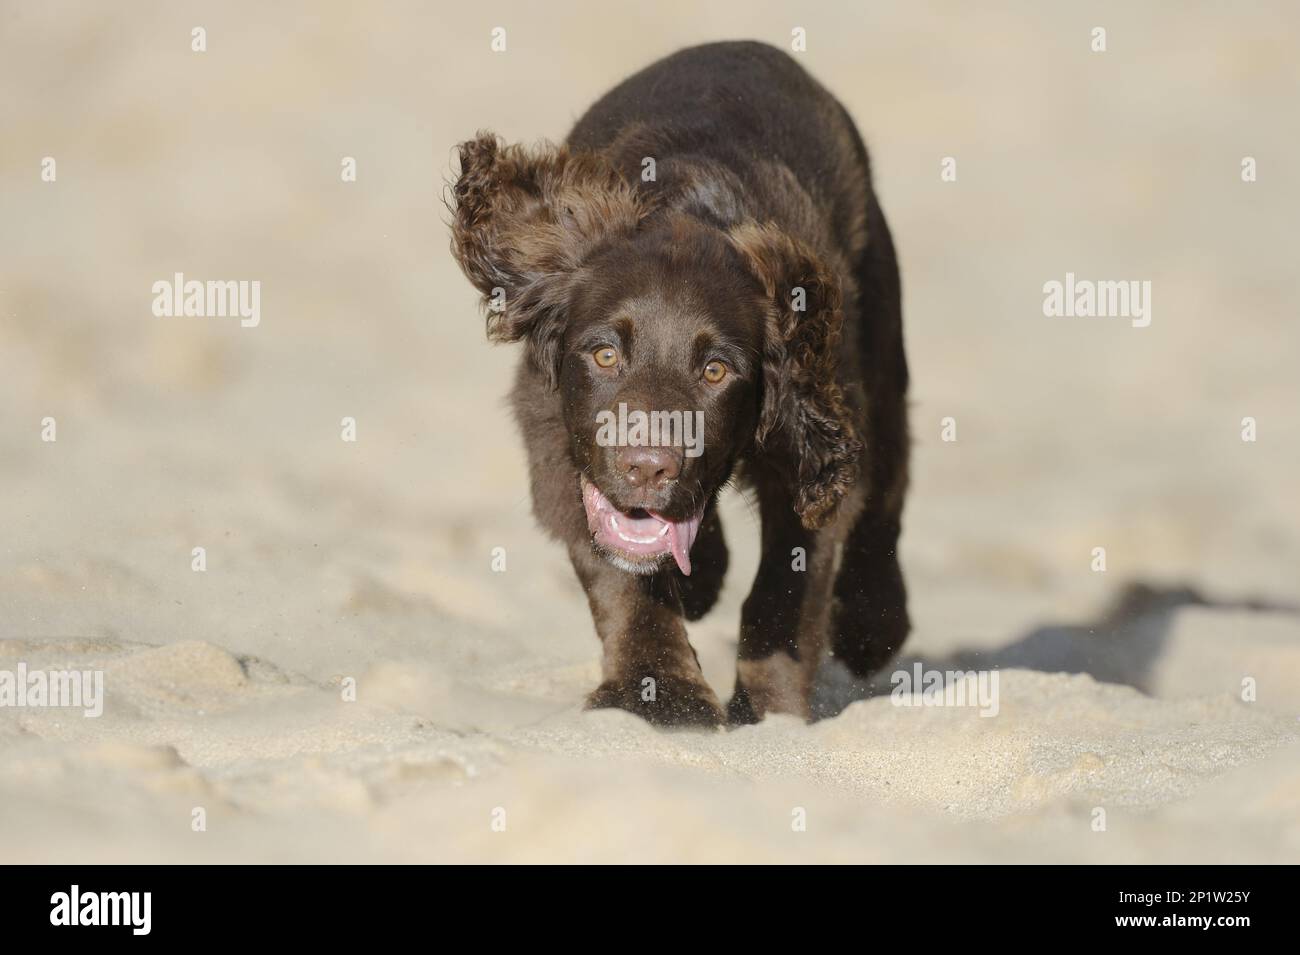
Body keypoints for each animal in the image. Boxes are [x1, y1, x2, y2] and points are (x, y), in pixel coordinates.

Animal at [452, 39, 909, 722]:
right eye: (605, 355)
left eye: (716, 370)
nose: (647, 467)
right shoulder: (554, 437)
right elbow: (620, 574)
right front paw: (659, 694)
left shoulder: (813, 442)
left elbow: (785, 590)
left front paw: (766, 714)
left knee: (888, 481)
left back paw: (874, 625)